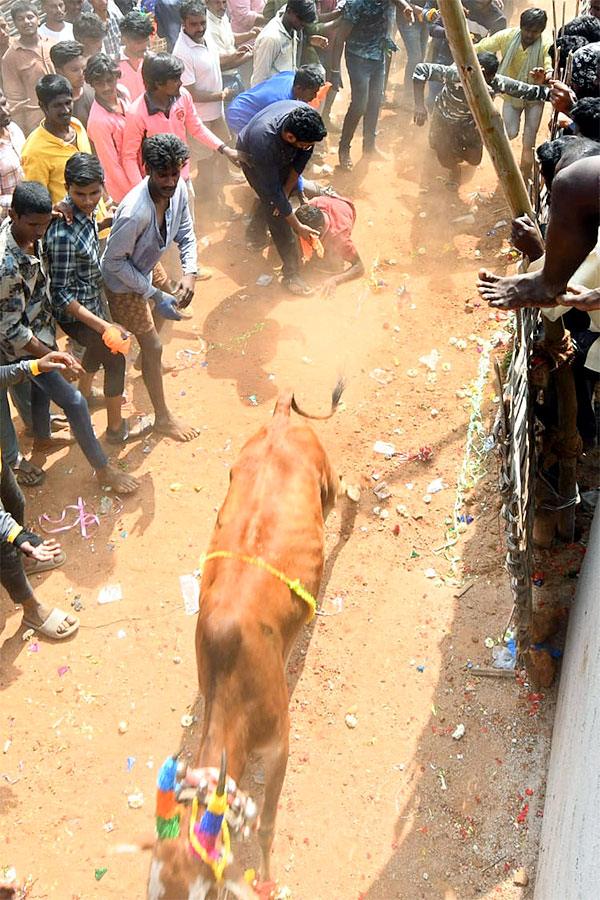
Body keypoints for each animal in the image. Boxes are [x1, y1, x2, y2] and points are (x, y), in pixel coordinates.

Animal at [148, 382, 350, 900]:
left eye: (206, 889)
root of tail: (280, 418)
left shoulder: (280, 742)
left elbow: (267, 826)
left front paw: (269, 877)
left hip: (326, 479)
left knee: (343, 494)